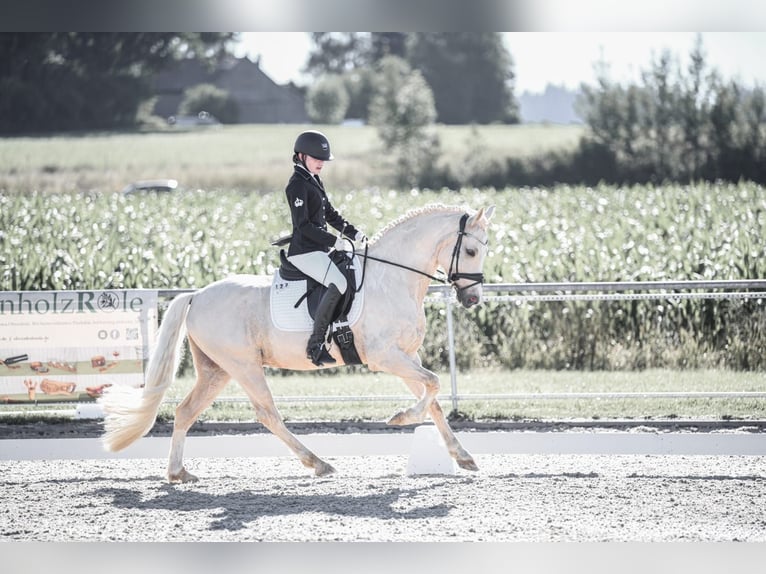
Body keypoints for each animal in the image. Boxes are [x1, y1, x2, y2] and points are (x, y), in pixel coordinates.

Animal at [102, 205, 498, 484]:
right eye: (472, 251)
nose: (473, 299)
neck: (392, 279)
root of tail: (197, 295)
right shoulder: (385, 357)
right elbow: (433, 385)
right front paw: (400, 417)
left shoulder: (406, 356)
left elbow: (434, 400)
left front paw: (462, 456)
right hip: (244, 366)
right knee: (268, 414)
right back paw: (318, 463)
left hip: (217, 370)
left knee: (186, 412)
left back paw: (177, 473)